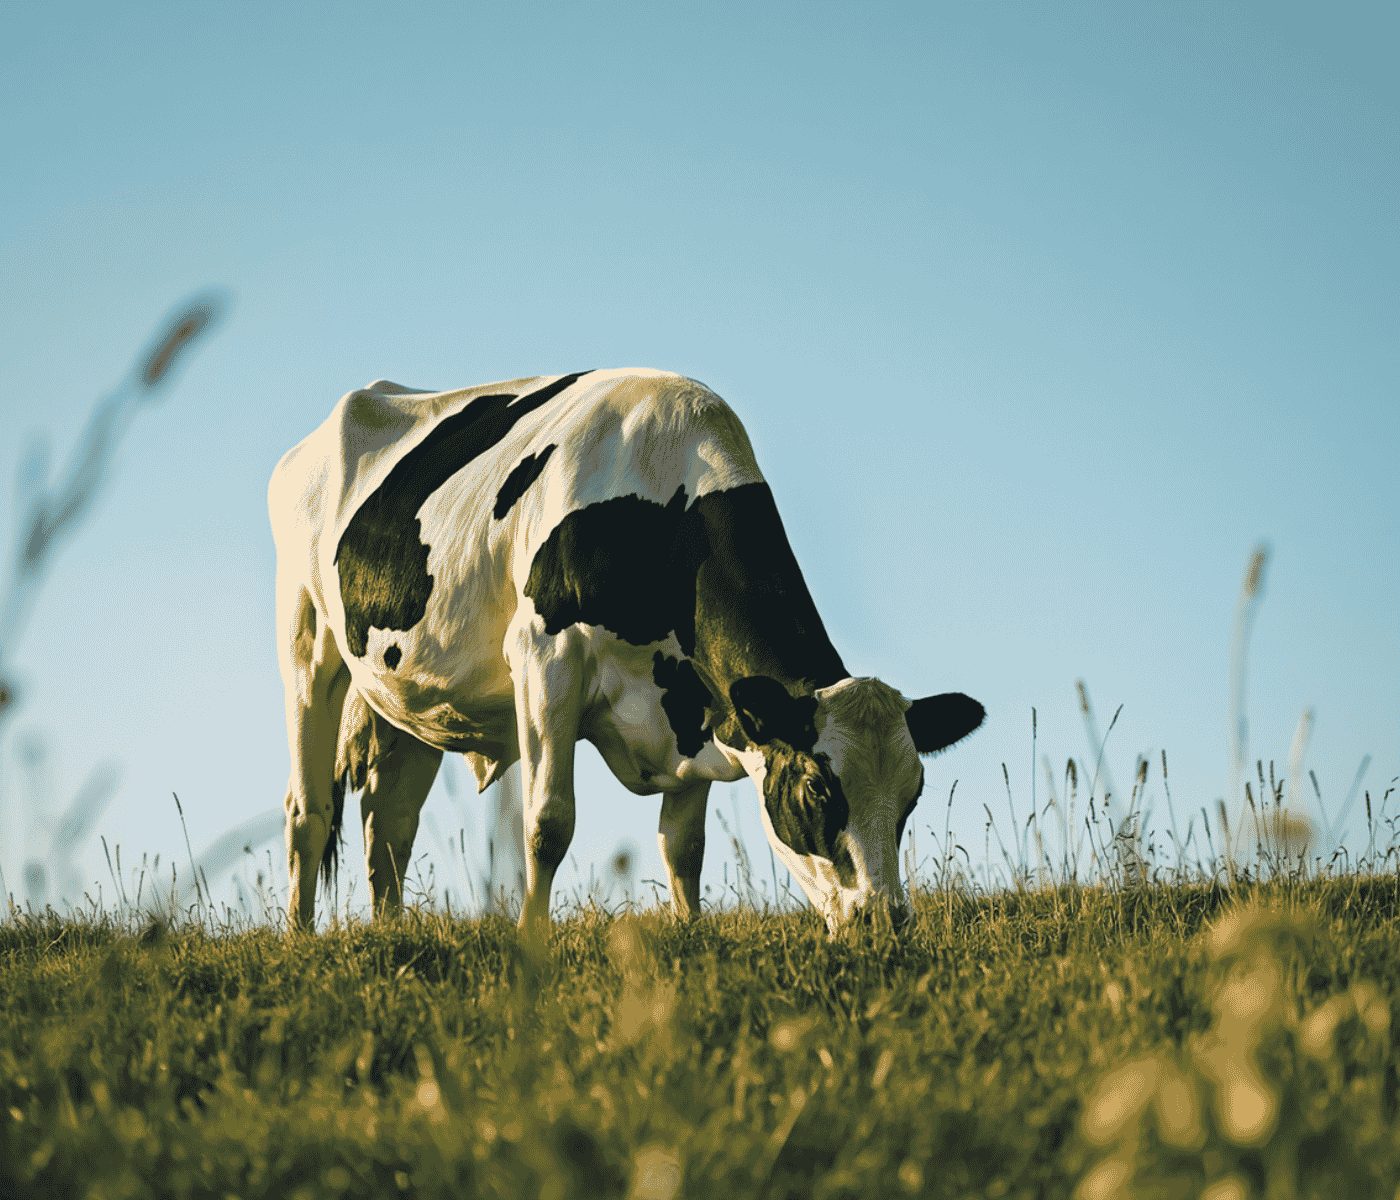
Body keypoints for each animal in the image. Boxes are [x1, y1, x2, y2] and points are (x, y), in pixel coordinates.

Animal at [269, 369, 984, 932]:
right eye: (816, 788)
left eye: (913, 794)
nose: (884, 921)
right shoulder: (544, 658)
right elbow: (548, 824)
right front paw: (532, 939)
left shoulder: (698, 706)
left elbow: (683, 847)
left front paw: (690, 932)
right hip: (306, 637)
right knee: (309, 808)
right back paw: (301, 937)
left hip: (412, 694)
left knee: (388, 823)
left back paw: (390, 933)